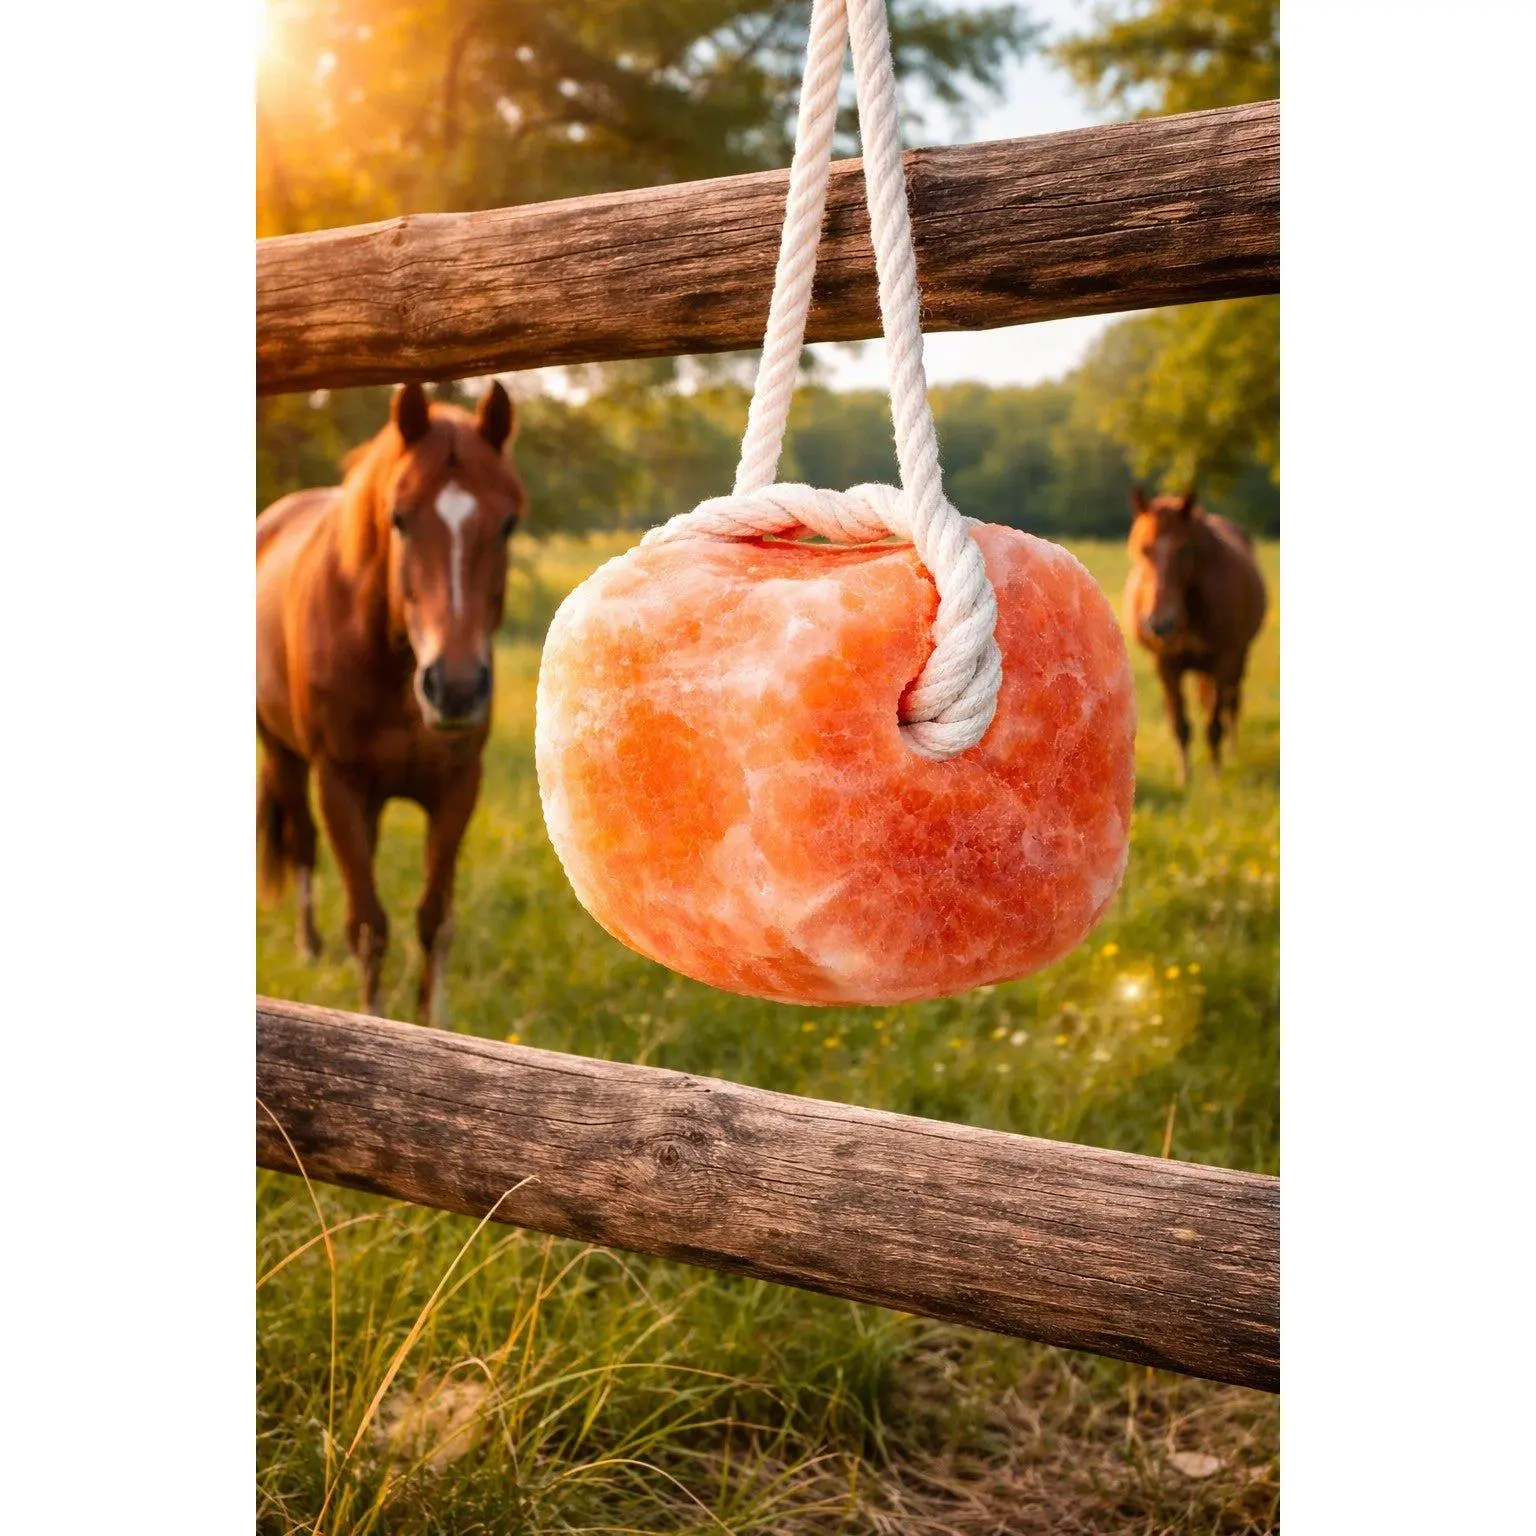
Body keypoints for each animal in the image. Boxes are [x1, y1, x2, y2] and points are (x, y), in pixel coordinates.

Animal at [256, 381, 526, 1021]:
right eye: (398, 519)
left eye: (507, 523)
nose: (455, 687)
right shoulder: (339, 784)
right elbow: (367, 925)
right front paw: (370, 1020)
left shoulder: (457, 787)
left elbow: (435, 921)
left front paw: (434, 1025)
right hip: (283, 756)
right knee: (303, 846)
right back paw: (309, 948)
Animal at [1124, 487, 1267, 785]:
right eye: (1144, 549)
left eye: (1185, 550)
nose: (1159, 624)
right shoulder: (1166, 664)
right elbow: (1180, 724)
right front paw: (1185, 778)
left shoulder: (1225, 661)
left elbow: (1214, 724)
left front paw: (1215, 778)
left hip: (1238, 661)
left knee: (1231, 706)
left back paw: (1232, 753)